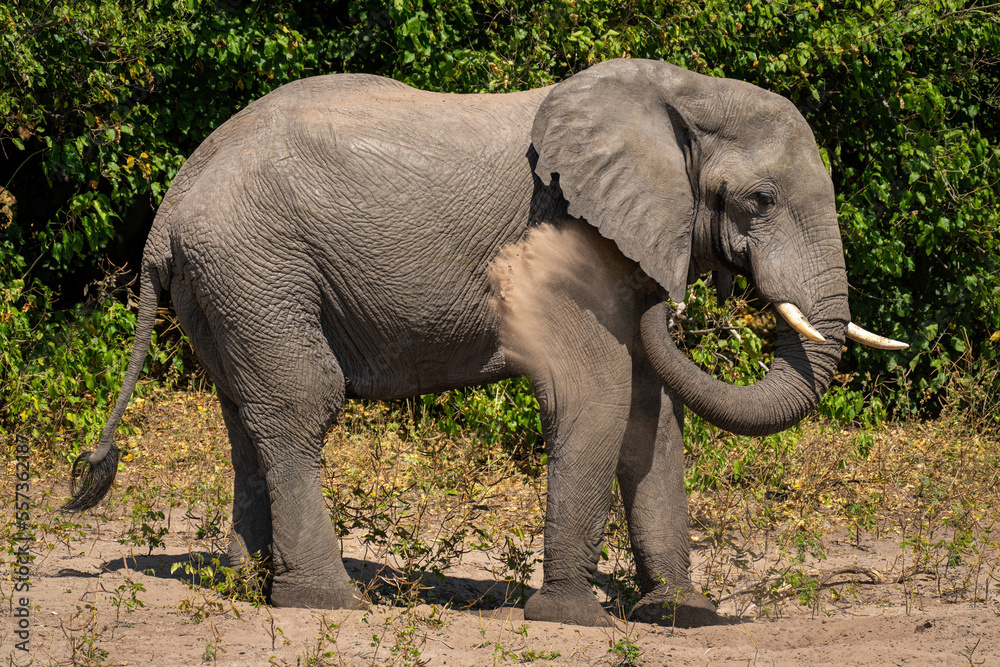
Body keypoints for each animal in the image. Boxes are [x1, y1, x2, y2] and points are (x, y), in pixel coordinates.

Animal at [64, 58, 905, 628]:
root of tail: (171, 206)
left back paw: (249, 589)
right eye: (759, 199)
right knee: (301, 407)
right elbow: (597, 392)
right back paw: (328, 601)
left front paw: (678, 613)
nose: (680, 301)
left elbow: (651, 416)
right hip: (255, 263)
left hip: (228, 287)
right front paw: (573, 617)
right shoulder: (564, 236)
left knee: (248, 418)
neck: (677, 92)